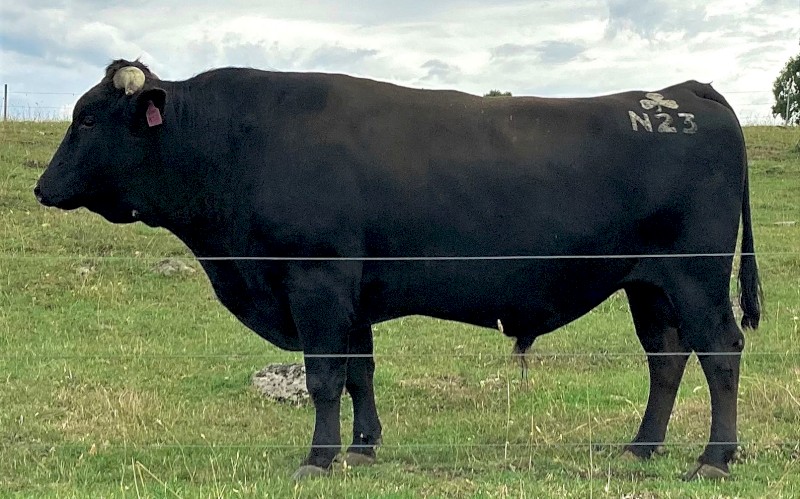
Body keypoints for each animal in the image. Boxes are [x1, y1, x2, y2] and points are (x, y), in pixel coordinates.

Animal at [35, 59, 761, 480]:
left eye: (88, 118)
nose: (43, 188)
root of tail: (683, 93)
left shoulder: (317, 279)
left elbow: (324, 377)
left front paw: (319, 458)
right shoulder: (351, 293)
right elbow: (360, 372)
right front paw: (362, 446)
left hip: (695, 277)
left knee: (720, 352)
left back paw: (715, 458)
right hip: (648, 284)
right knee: (667, 358)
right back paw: (642, 447)